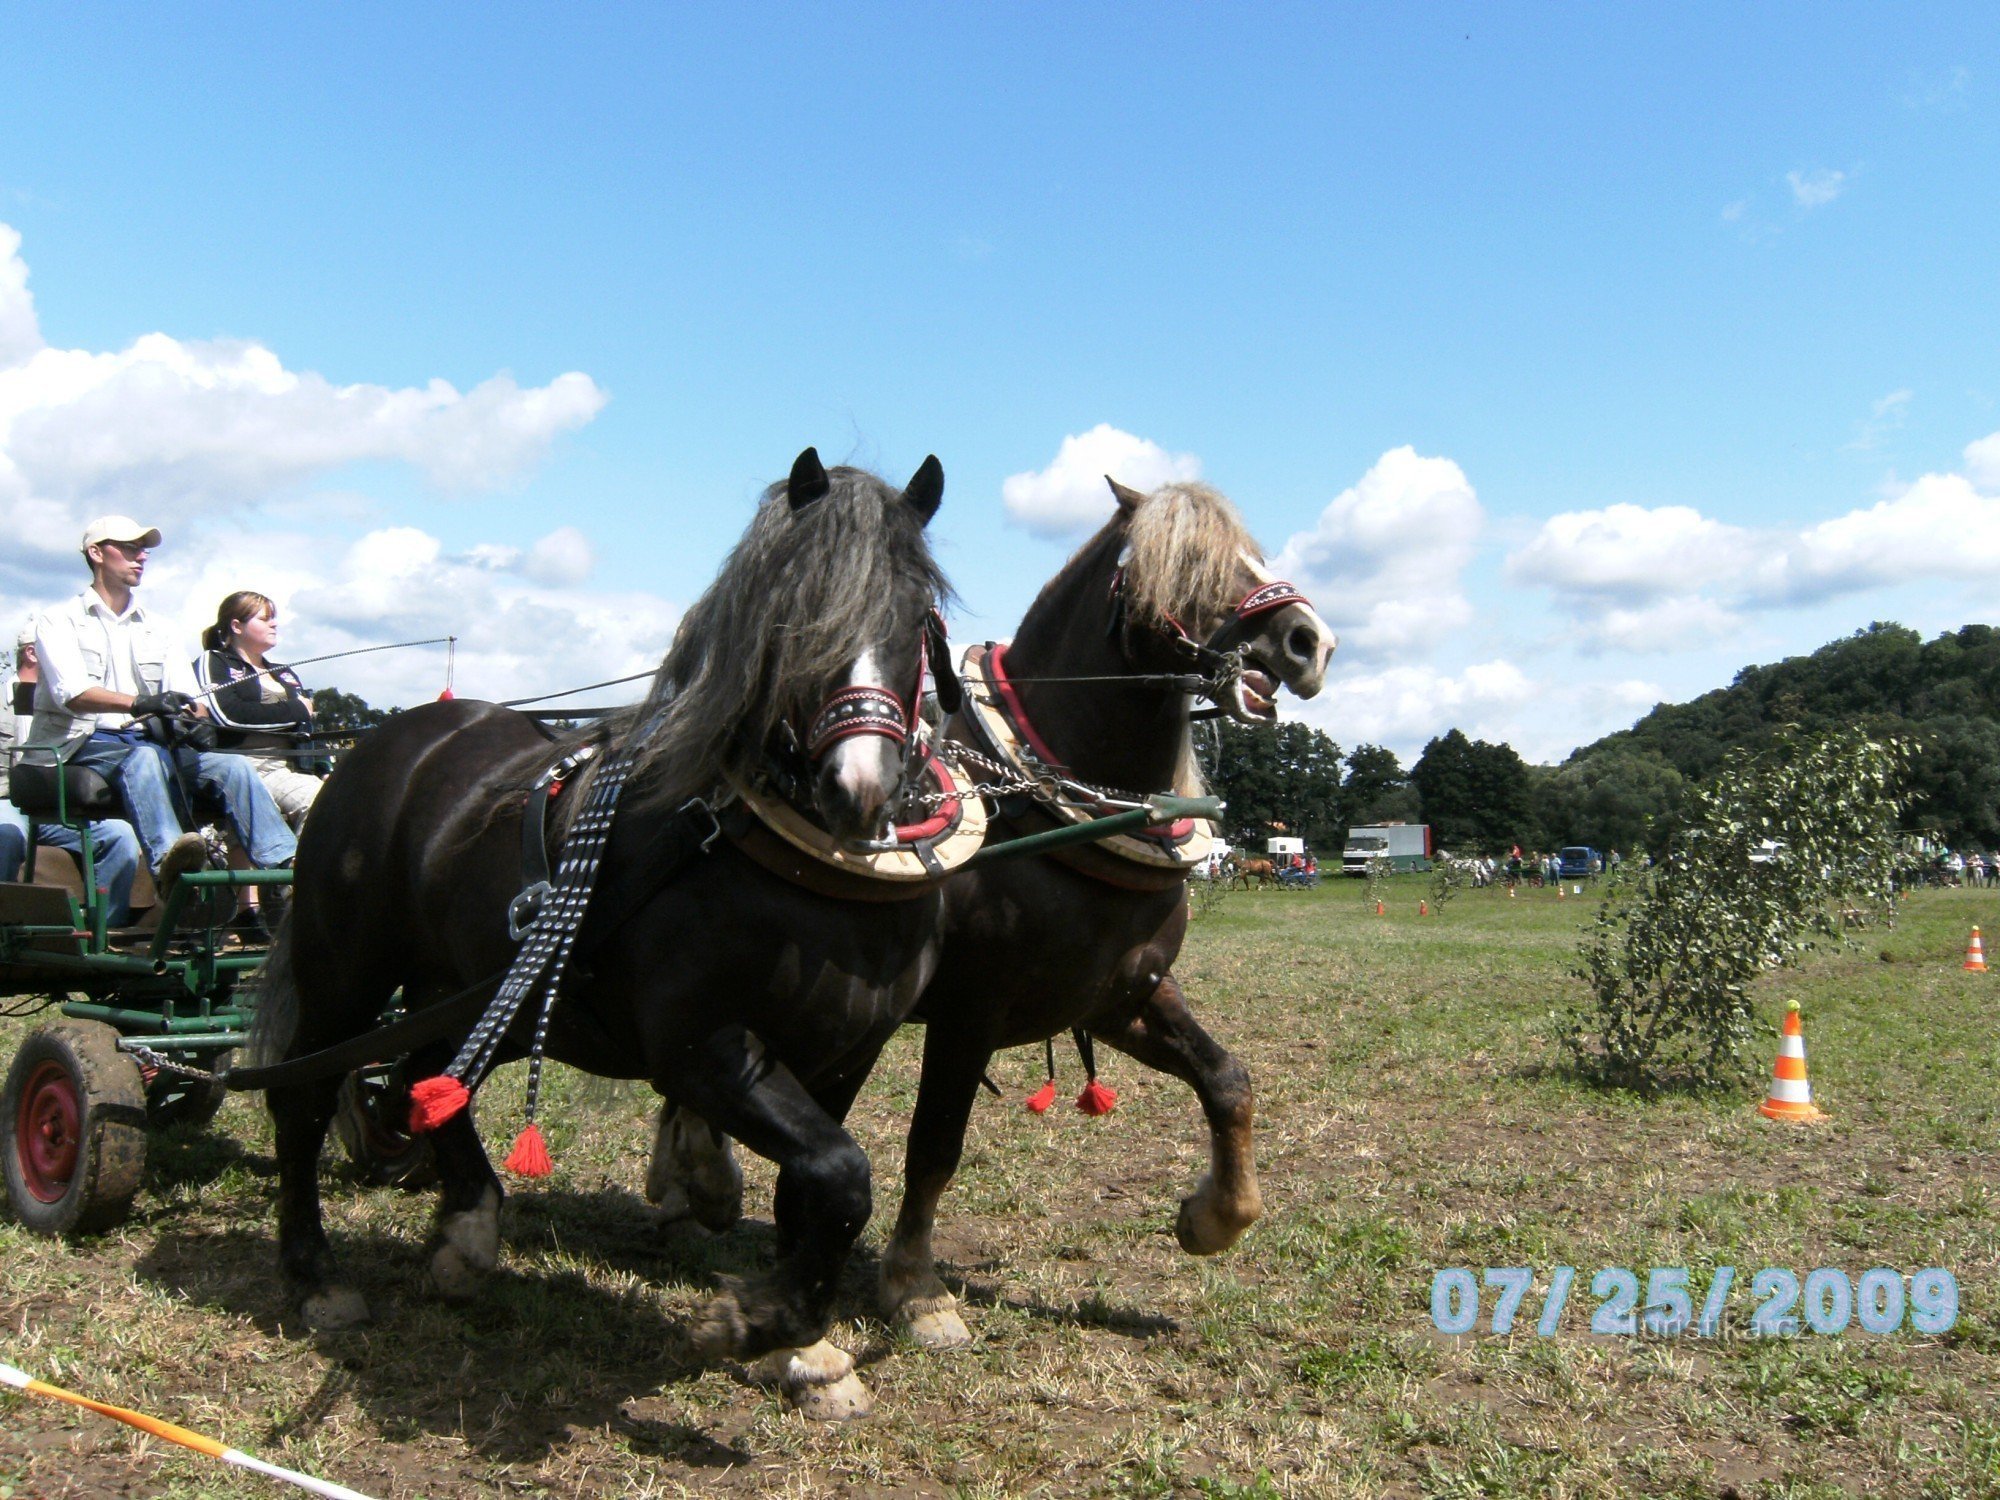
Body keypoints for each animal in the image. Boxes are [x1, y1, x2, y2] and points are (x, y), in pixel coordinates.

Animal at [252, 446, 952, 1424]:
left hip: (464, 988)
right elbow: (841, 1174)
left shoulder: (850, 1051)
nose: (859, 788)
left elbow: (814, 1190)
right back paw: (315, 1275)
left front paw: (804, 1350)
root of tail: (387, 740)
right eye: (793, 614)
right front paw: (749, 1326)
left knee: (431, 1074)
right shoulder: (700, 1048)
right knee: (305, 1096)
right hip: (344, 971)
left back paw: (467, 1234)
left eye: (917, 613)